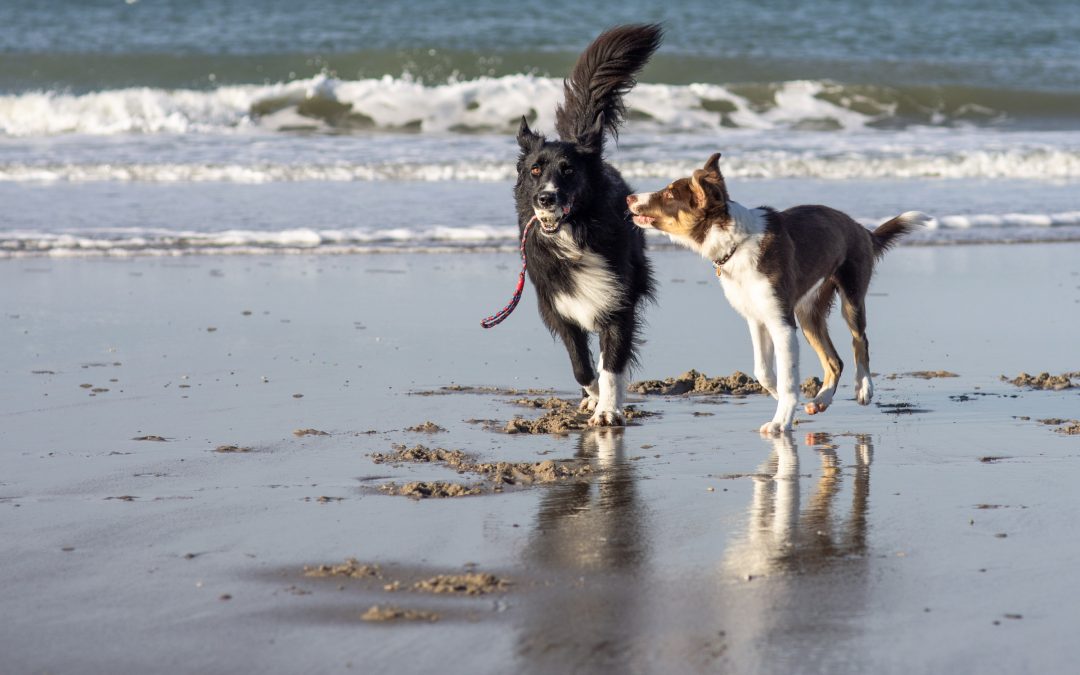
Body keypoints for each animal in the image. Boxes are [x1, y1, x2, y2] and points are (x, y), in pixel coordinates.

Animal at [511, 26, 660, 429]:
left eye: (568, 171)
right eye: (535, 170)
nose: (545, 199)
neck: (576, 235)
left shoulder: (618, 302)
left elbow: (612, 363)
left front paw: (608, 409)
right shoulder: (557, 306)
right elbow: (581, 364)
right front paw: (592, 396)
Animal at [626, 154, 928, 432]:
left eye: (669, 193)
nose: (629, 197)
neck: (736, 242)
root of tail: (862, 229)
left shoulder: (782, 323)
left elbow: (788, 379)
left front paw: (781, 420)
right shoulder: (757, 318)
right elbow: (763, 371)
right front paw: (777, 396)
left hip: (851, 295)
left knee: (860, 340)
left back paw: (864, 388)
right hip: (808, 314)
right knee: (834, 361)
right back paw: (821, 400)